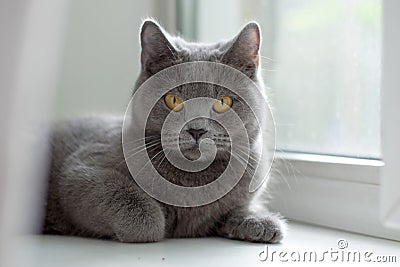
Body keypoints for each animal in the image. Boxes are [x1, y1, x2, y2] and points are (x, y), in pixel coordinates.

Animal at [43, 19, 286, 244]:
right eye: (173, 100)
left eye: (223, 102)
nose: (197, 130)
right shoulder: (81, 170)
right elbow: (134, 206)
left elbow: (235, 210)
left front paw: (259, 221)